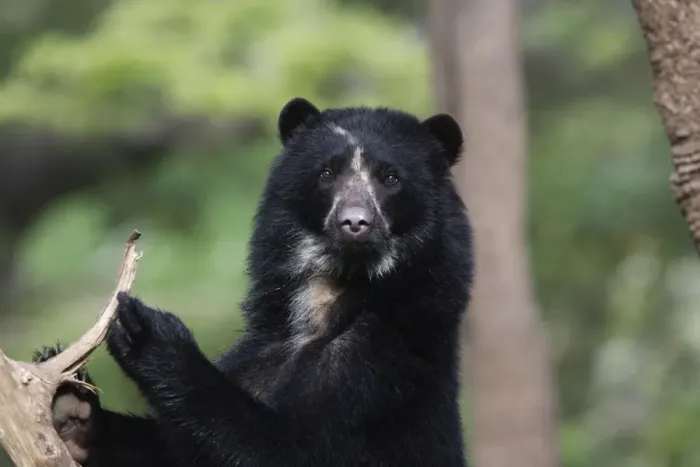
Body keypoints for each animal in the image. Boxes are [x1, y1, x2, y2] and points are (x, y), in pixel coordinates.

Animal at [34, 97, 474, 467]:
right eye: (326, 173)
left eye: (391, 178)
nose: (355, 223)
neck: (332, 293)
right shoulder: (261, 351)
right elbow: (175, 450)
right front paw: (71, 407)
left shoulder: (386, 375)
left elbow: (293, 449)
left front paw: (145, 331)